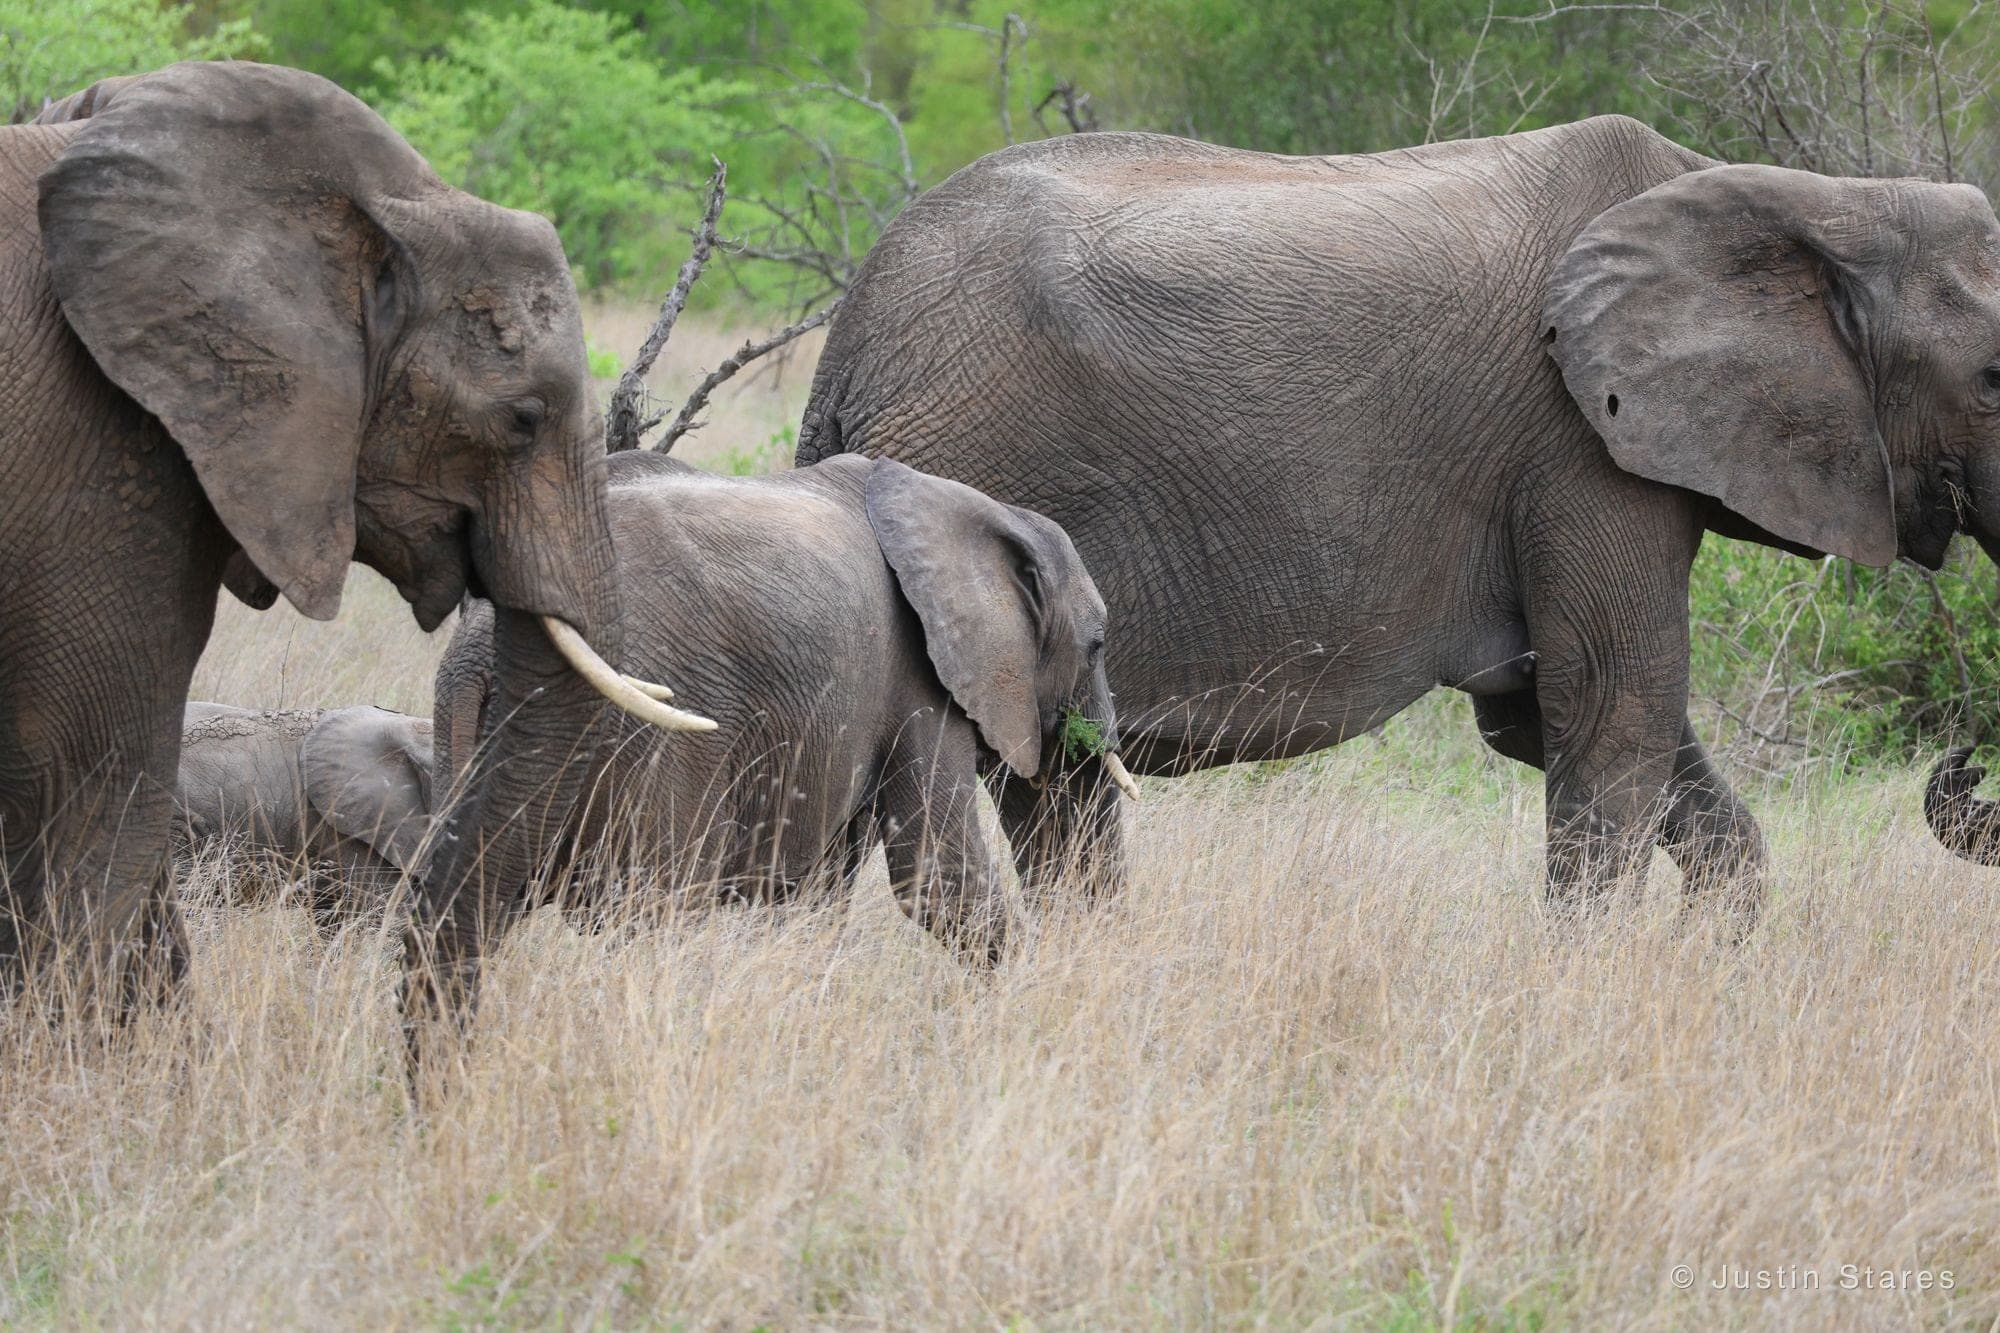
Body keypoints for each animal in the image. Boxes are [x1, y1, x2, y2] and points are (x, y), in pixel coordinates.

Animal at [428, 449, 1135, 959]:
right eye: (1098, 645)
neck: (979, 509)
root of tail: (476, 650)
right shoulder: (917, 678)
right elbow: (939, 880)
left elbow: (823, 885)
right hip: (651, 733)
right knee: (650, 908)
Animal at [797, 118, 2000, 916]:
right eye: (1994, 380)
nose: (1961, 766)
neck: (1821, 198)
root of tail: (849, 338)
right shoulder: (1575, 439)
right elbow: (1615, 703)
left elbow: (1550, 718)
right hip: (974, 463)